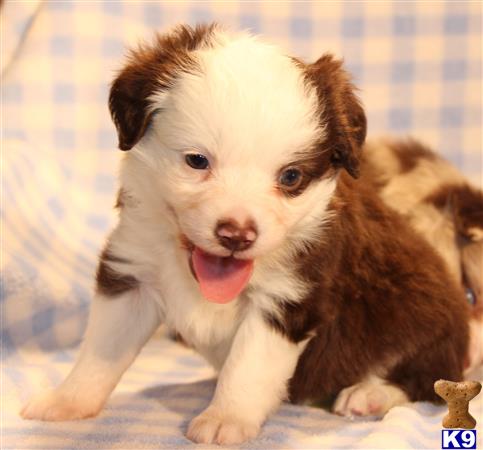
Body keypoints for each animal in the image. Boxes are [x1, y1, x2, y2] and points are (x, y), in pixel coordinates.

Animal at [20, 26, 470, 444]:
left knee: (428, 383)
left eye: (291, 177)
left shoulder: (287, 299)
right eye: (197, 161)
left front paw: (226, 418)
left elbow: (248, 368)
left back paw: (370, 394)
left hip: (425, 319)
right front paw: (68, 402)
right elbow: (100, 352)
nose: (236, 234)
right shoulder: (133, 271)